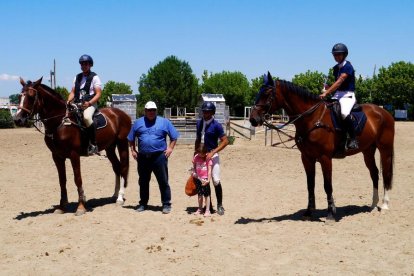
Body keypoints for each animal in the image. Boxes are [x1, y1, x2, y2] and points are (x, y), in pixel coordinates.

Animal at [14, 77, 131, 216]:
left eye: (31, 96)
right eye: (20, 96)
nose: (17, 119)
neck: (60, 122)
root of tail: (121, 113)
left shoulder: (74, 155)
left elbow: (77, 179)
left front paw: (81, 206)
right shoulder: (57, 156)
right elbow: (62, 180)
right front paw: (62, 206)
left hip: (122, 144)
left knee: (123, 168)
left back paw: (120, 198)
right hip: (110, 148)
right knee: (117, 167)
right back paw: (114, 195)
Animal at [249, 72, 394, 221]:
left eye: (267, 93)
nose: (253, 119)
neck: (312, 118)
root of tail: (383, 112)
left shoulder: (325, 158)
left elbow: (327, 185)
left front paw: (330, 213)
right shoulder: (306, 158)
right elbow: (310, 185)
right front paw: (308, 212)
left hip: (385, 149)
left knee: (386, 174)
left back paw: (384, 205)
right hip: (368, 150)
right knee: (374, 173)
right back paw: (373, 205)